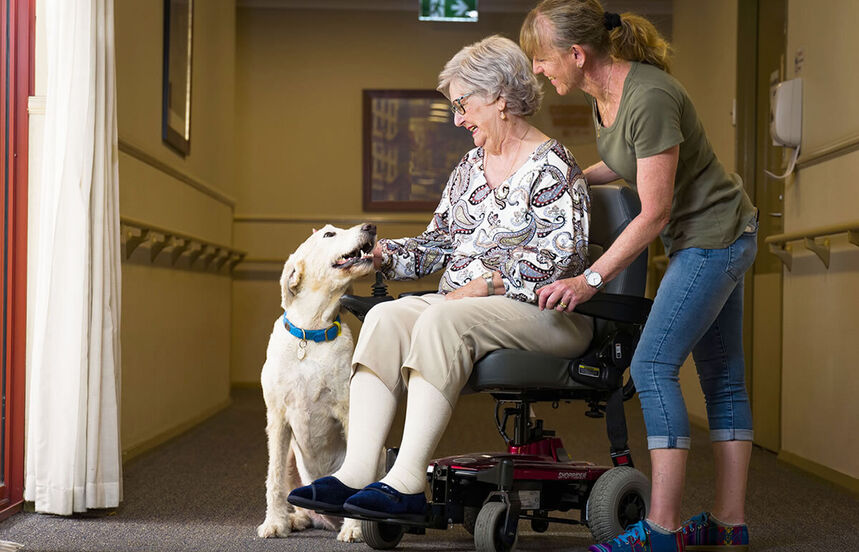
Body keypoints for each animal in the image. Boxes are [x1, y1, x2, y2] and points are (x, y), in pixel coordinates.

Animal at [255, 222, 376, 540]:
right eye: (329, 234)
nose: (371, 226)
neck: (312, 334)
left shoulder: (349, 411)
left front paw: (354, 529)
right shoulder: (277, 418)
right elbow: (274, 477)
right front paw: (274, 523)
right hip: (291, 455)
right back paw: (296, 518)